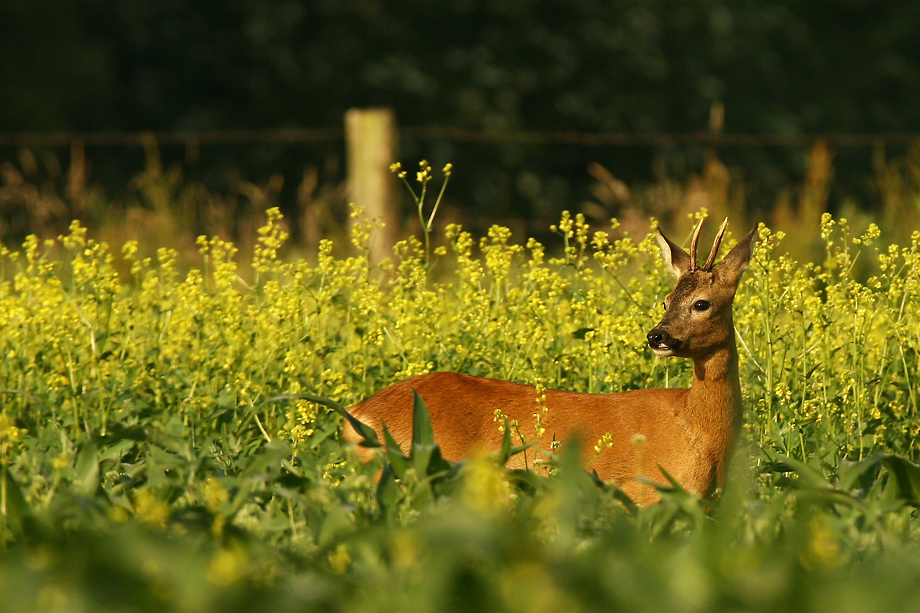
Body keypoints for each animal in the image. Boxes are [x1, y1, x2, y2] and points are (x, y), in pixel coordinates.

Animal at [344, 218, 756, 504]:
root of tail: (358, 413)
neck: (698, 431)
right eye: (667, 300)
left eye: (701, 303)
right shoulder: (645, 496)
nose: (657, 336)